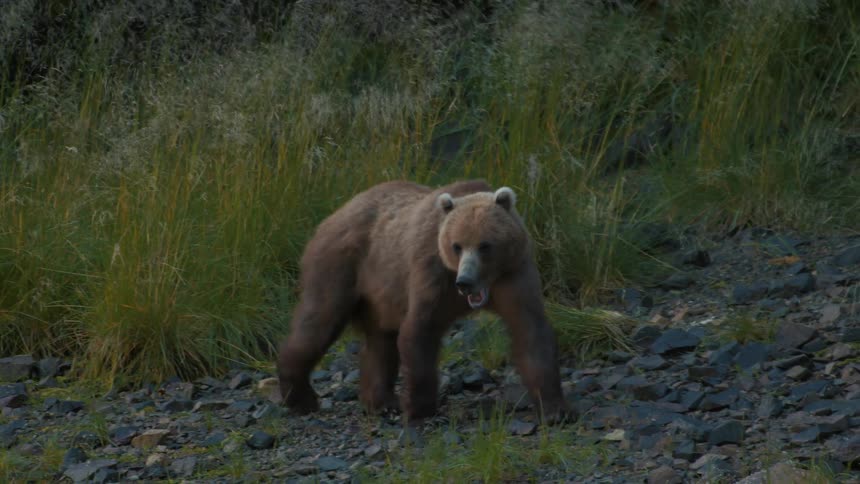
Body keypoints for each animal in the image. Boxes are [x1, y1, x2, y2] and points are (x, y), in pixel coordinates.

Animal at [276, 179, 571, 425]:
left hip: (382, 290)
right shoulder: (432, 272)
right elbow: (420, 329)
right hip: (341, 266)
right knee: (319, 321)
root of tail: (336, 213)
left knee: (380, 342)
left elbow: (530, 329)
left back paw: (381, 402)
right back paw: (301, 397)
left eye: (485, 245)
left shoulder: (513, 274)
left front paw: (554, 409)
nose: (465, 281)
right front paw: (420, 409)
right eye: (456, 245)